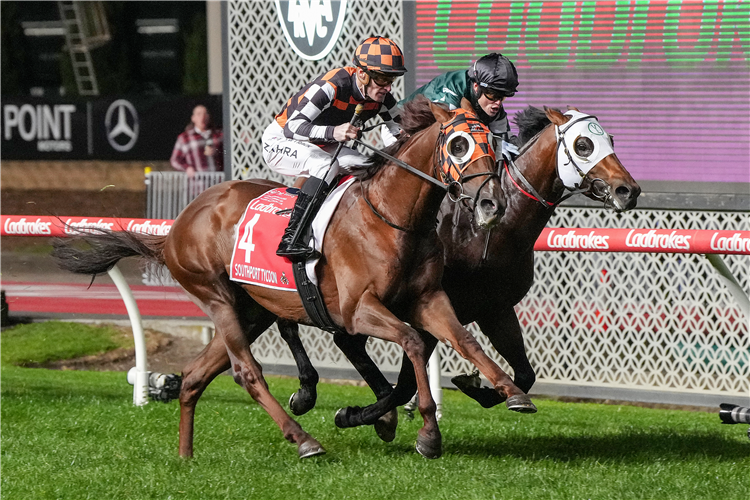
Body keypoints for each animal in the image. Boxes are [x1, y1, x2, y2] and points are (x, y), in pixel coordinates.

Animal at [53, 95, 536, 458]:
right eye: (457, 145)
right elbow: (414, 342)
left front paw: (511, 392)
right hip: (217, 296)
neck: (394, 218)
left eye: (494, 143)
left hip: (253, 309)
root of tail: (175, 228)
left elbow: (465, 340)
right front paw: (427, 434)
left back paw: (186, 456)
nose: (492, 203)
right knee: (247, 372)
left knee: (194, 376)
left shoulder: (428, 298)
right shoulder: (357, 310)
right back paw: (304, 440)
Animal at [280, 106, 644, 434]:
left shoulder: (495, 309)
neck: (489, 233)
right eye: (583, 144)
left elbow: (524, 374)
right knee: (305, 327)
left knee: (339, 336)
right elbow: (405, 384)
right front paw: (356, 414)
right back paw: (309, 394)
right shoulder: (423, 312)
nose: (628, 190)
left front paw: (480, 388)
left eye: (611, 139)